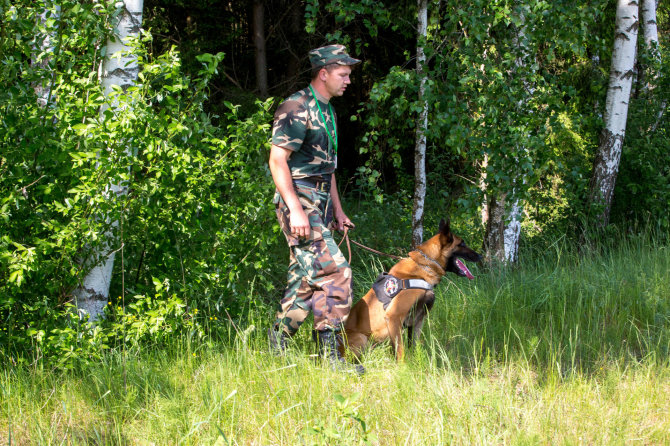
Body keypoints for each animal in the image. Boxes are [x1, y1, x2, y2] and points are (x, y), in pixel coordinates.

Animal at [344, 220, 480, 362]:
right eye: (462, 244)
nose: (480, 256)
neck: (423, 267)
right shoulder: (394, 317)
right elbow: (401, 352)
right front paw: (404, 366)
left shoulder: (418, 320)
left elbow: (414, 347)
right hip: (362, 338)